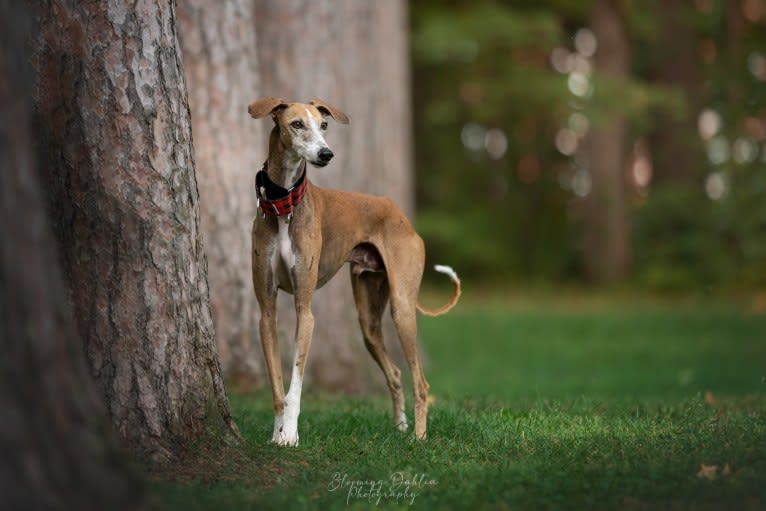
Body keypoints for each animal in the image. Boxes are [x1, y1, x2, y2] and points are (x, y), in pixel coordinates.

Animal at [249, 98, 460, 446]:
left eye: (324, 125)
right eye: (296, 124)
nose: (326, 154)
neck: (284, 206)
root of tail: (400, 214)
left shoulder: (305, 309)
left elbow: (295, 385)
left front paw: (290, 434)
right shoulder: (266, 311)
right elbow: (278, 385)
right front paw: (277, 435)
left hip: (402, 308)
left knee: (421, 382)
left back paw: (418, 439)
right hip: (368, 320)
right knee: (396, 373)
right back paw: (400, 429)